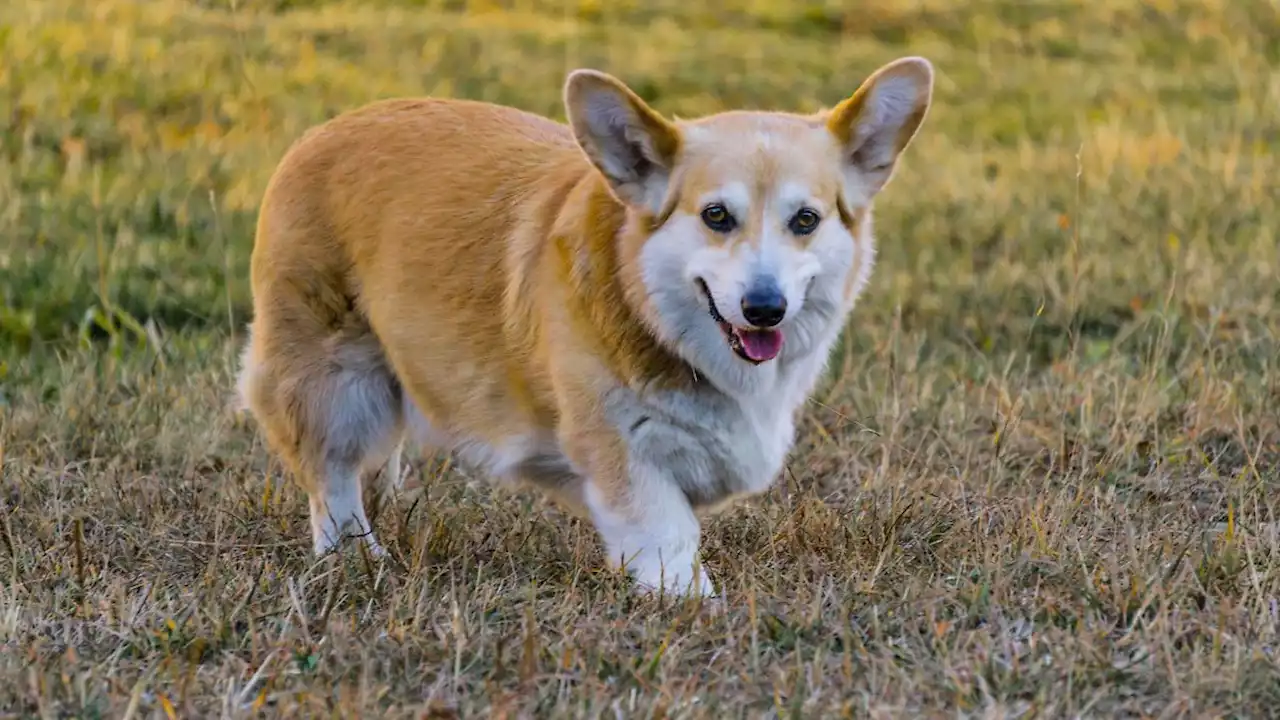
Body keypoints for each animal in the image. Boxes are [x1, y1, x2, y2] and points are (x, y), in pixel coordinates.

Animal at [235, 56, 936, 594]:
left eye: (806, 220)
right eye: (716, 215)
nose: (765, 308)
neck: (662, 320)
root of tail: (323, 130)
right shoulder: (623, 453)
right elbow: (670, 541)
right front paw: (697, 607)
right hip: (334, 381)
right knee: (332, 478)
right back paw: (357, 558)